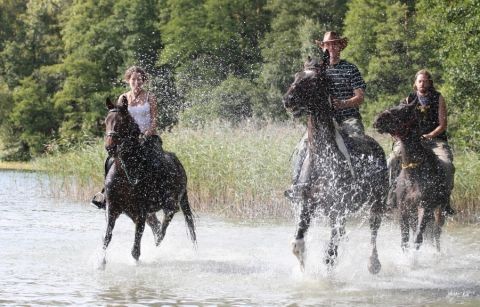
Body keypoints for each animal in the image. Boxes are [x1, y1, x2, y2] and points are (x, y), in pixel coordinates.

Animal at [101, 97, 197, 268]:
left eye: (121, 122)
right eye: (106, 121)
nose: (110, 147)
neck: (126, 172)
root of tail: (178, 162)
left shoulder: (140, 211)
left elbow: (136, 247)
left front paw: (135, 262)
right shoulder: (112, 208)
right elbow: (107, 237)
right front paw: (101, 263)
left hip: (172, 202)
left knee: (167, 219)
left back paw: (159, 241)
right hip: (140, 212)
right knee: (157, 225)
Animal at [284, 59, 388, 274]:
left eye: (314, 80)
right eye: (297, 75)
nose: (288, 100)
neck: (324, 161)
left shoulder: (339, 209)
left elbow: (330, 255)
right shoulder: (307, 204)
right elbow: (298, 245)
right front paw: (304, 272)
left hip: (377, 202)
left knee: (374, 230)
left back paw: (374, 264)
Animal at [374, 103, 448, 253]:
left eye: (404, 110)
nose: (378, 120)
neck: (414, 174)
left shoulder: (425, 206)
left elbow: (418, 238)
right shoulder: (403, 209)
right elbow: (405, 240)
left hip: (439, 211)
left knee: (436, 234)